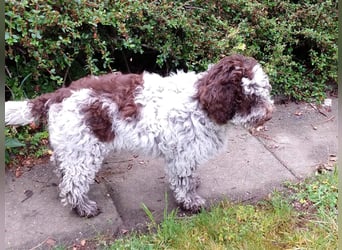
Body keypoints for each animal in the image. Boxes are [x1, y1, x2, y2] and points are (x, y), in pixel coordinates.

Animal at [4, 54, 272, 217]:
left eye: (264, 91)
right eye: (250, 97)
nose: (269, 114)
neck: (201, 101)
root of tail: (57, 95)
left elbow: (189, 176)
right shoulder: (183, 154)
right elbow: (183, 180)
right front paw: (190, 202)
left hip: (72, 146)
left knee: (62, 167)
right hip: (84, 150)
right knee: (72, 183)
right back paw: (83, 207)